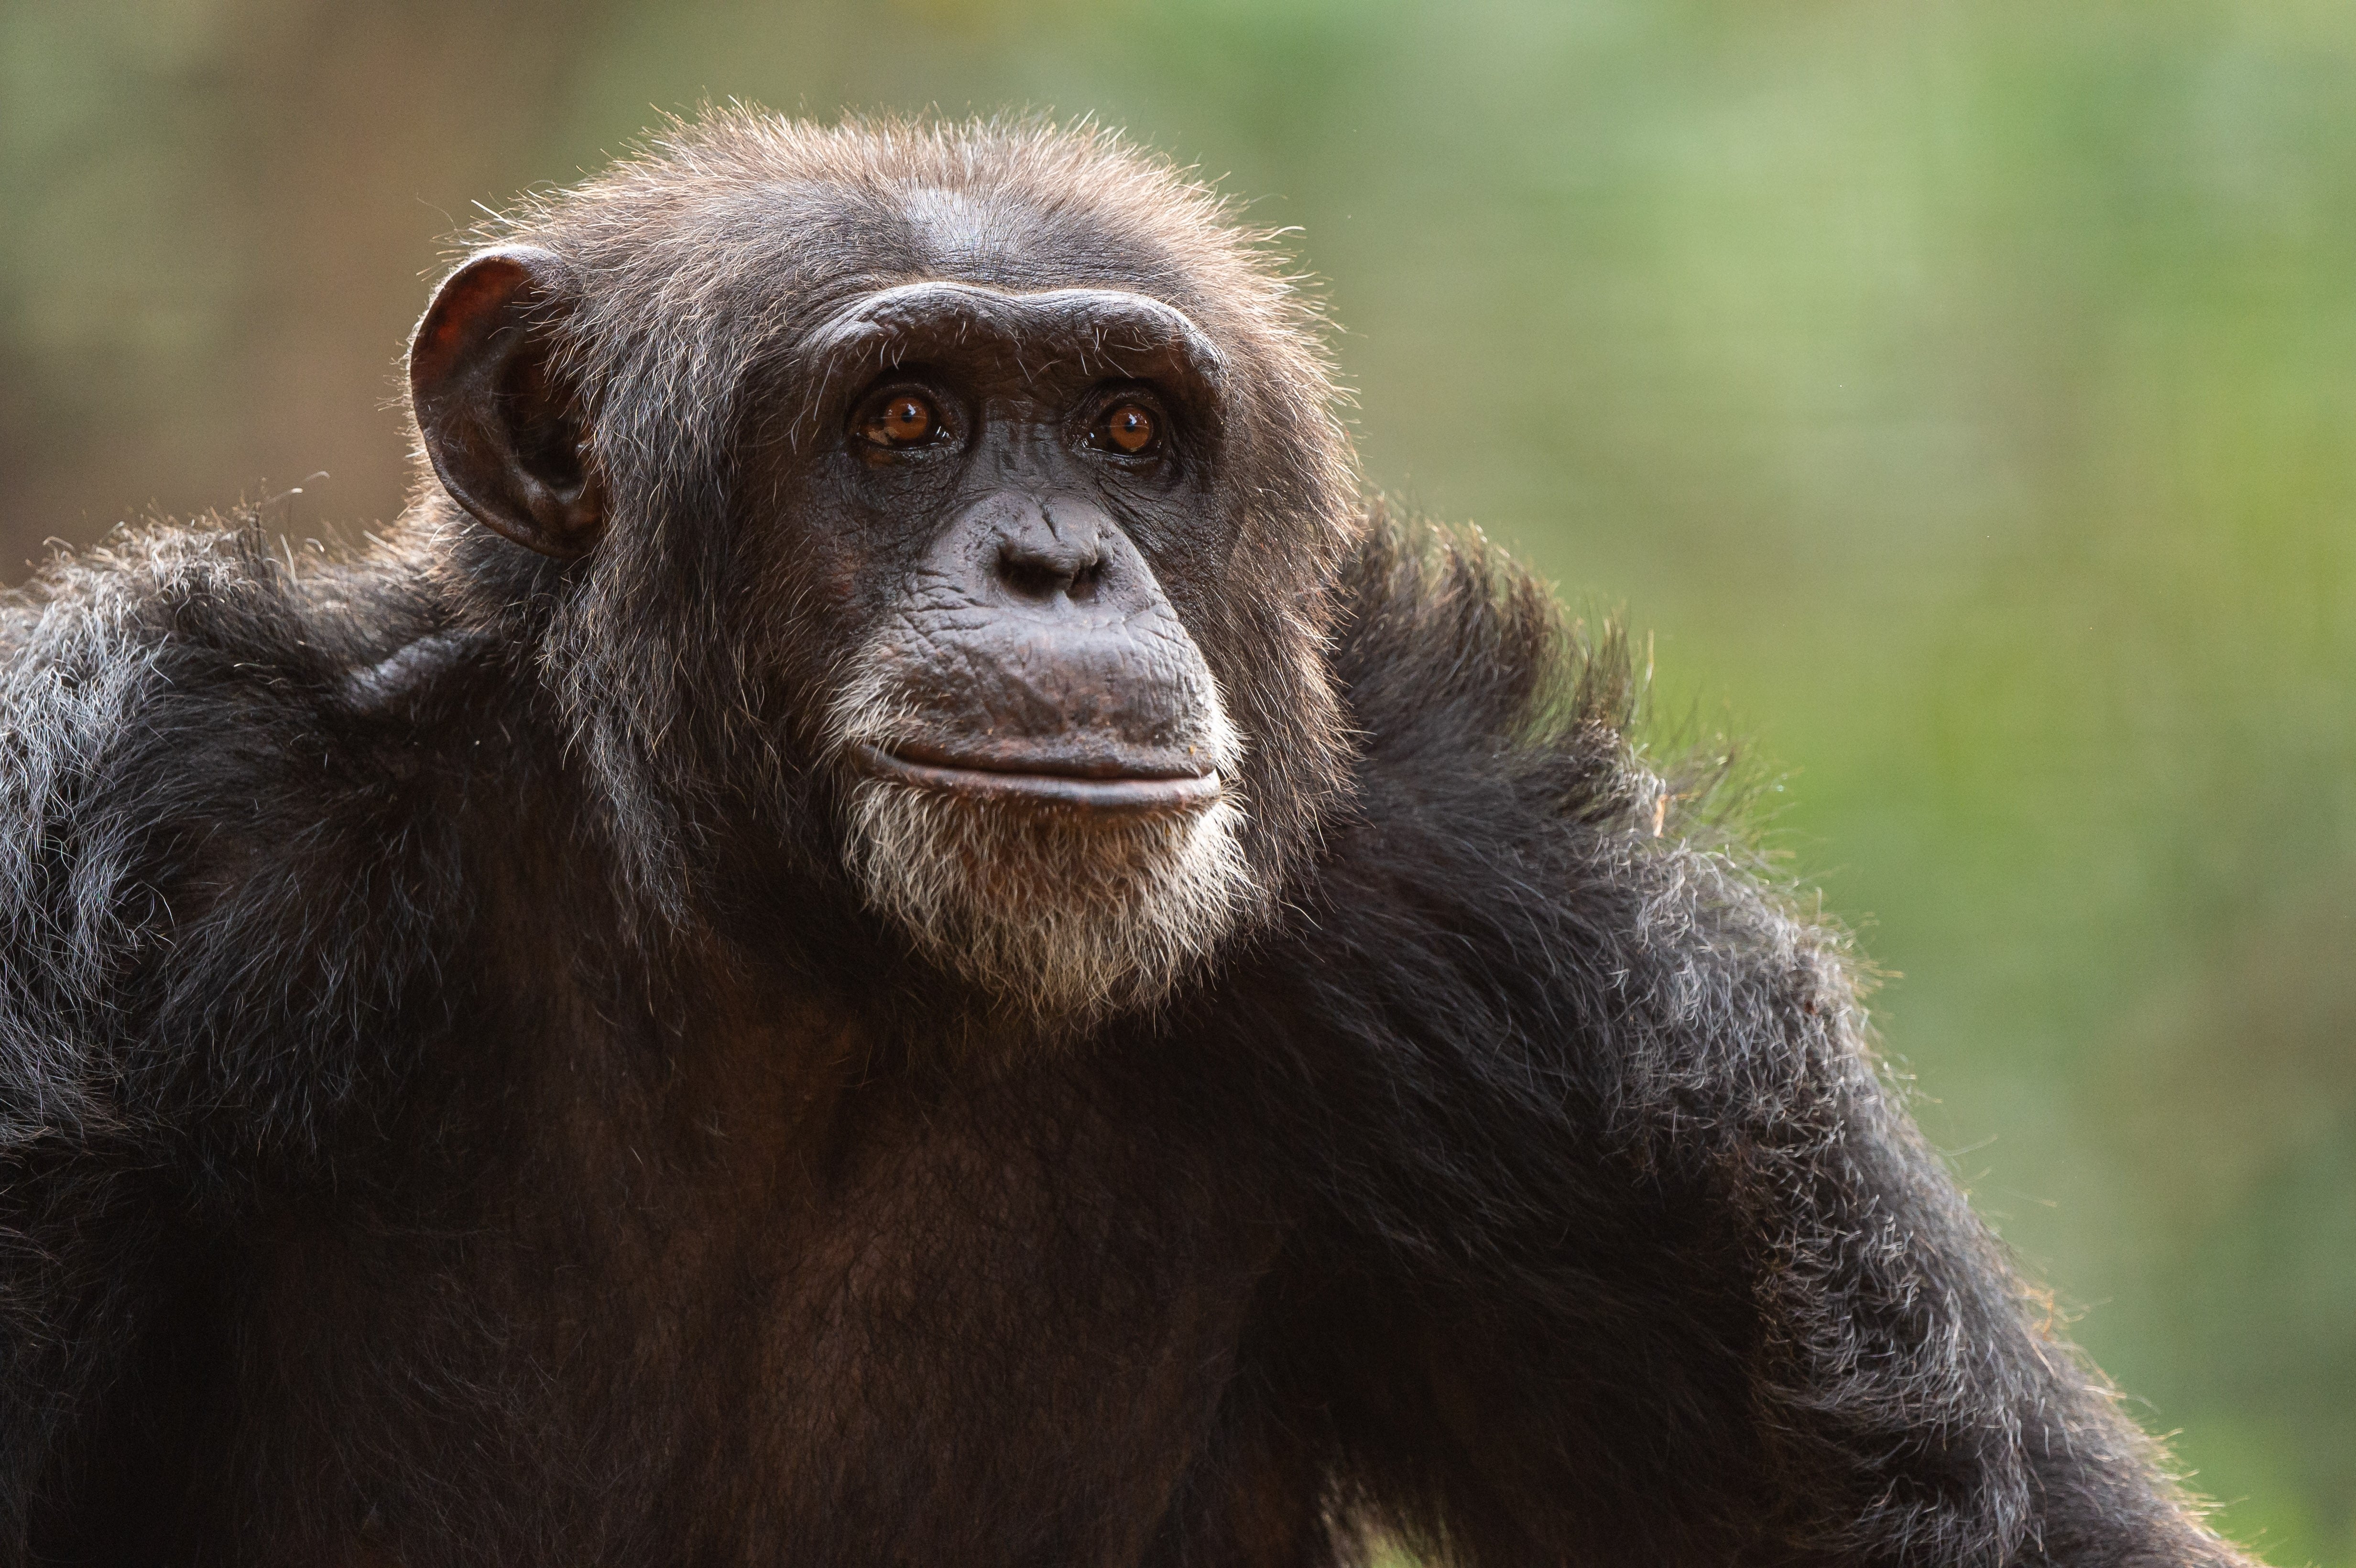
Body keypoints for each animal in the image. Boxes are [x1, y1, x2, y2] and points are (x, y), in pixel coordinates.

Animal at [0, 113, 2243, 1563]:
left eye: (1130, 430)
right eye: (904, 419)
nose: (1060, 560)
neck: (808, 974)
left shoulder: (1591, 1015)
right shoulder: (119, 847)